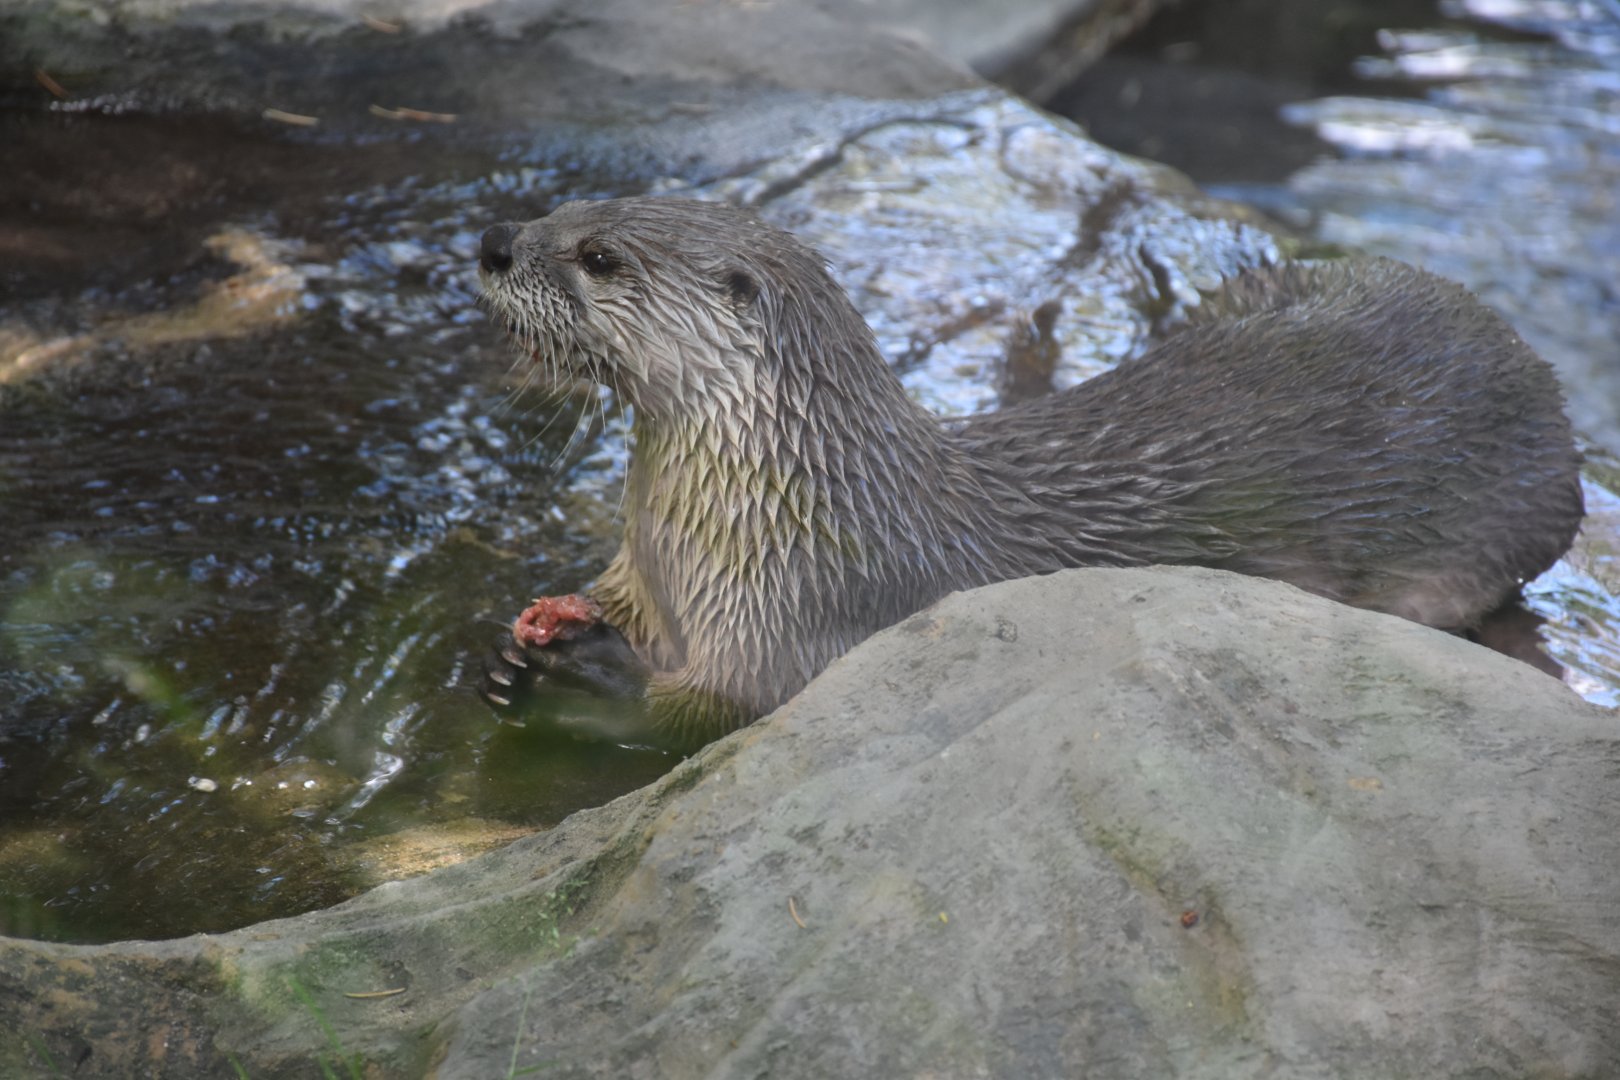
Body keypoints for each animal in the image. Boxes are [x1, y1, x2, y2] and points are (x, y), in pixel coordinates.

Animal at [476, 196, 1583, 748]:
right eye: (559, 208)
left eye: (599, 256)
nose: (492, 241)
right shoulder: (644, 573)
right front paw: (513, 656)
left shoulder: (805, 614)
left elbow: (721, 711)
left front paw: (592, 668)